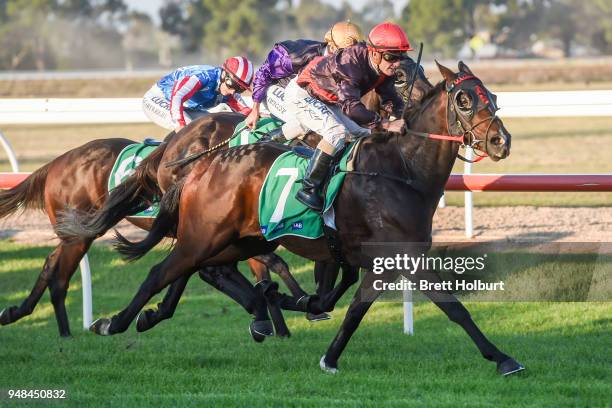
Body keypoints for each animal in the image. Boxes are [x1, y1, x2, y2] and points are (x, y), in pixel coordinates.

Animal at [88, 61, 524, 376]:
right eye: (464, 100)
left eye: (492, 96)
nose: (501, 141)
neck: (399, 169)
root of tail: (198, 162)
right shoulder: (405, 257)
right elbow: (453, 306)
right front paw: (503, 357)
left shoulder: (379, 261)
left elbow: (354, 308)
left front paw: (328, 356)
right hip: (205, 236)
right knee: (161, 271)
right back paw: (114, 322)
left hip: (240, 240)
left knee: (204, 271)